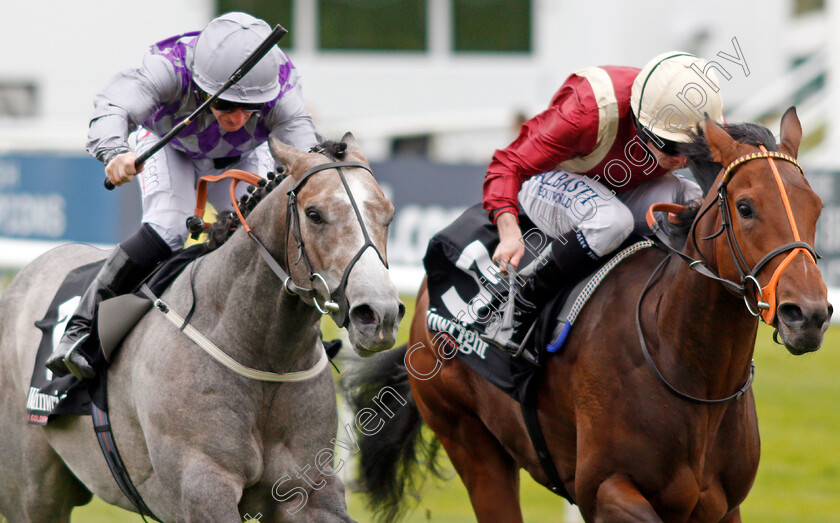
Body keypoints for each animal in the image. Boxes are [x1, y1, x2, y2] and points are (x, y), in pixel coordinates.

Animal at [0, 133, 404, 520]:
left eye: (389, 213)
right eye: (314, 213)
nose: (378, 314)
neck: (261, 353)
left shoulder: (308, 489)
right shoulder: (202, 487)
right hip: (32, 494)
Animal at [344, 108, 832, 520]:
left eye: (817, 206)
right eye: (746, 207)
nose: (808, 314)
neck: (687, 369)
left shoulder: (723, 506)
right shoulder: (603, 489)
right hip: (469, 439)